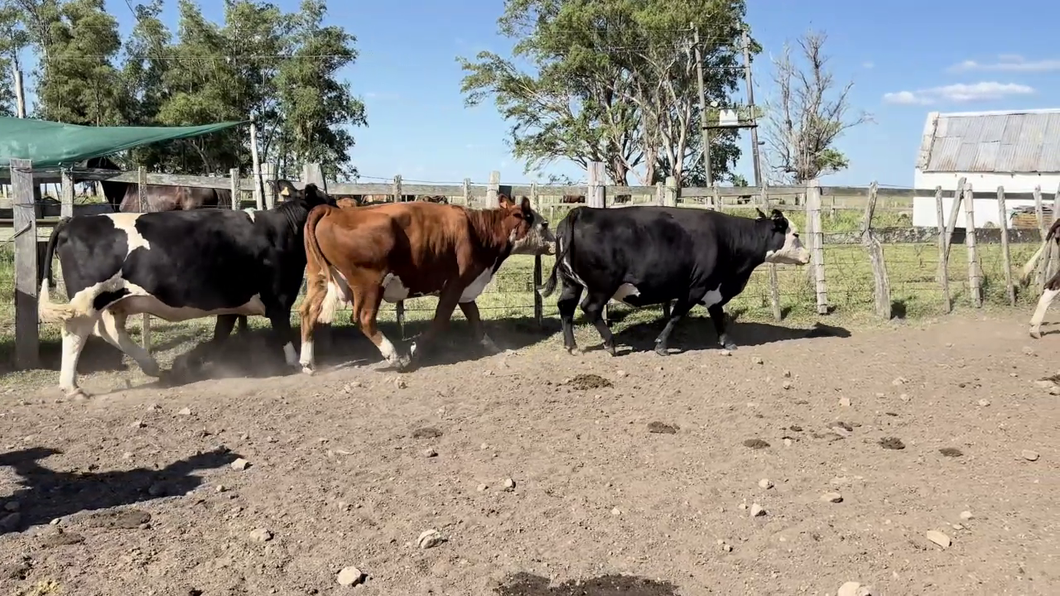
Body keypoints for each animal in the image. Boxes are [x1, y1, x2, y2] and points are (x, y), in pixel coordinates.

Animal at [37, 184, 337, 398]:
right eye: (330, 201)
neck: (282, 230)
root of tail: (72, 221)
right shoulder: (278, 296)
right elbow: (282, 330)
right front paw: (297, 363)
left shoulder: (231, 301)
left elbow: (220, 334)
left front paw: (191, 363)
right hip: (87, 299)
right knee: (76, 333)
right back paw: (72, 387)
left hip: (116, 299)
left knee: (109, 329)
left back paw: (151, 365)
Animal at [297, 194, 556, 373]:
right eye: (544, 224)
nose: (555, 242)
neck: (478, 231)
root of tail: (332, 211)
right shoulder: (455, 284)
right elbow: (441, 319)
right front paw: (416, 350)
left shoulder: (466, 286)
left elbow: (475, 317)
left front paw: (492, 345)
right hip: (370, 285)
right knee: (363, 318)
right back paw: (395, 357)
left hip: (319, 279)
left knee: (308, 311)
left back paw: (308, 362)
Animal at [538, 206, 811, 357]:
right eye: (796, 234)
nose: (808, 256)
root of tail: (582, 210)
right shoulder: (695, 287)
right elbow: (677, 315)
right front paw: (661, 345)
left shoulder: (713, 289)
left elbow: (718, 316)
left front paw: (727, 342)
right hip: (602, 285)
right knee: (590, 308)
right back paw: (610, 344)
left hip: (571, 283)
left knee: (566, 307)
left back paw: (571, 346)